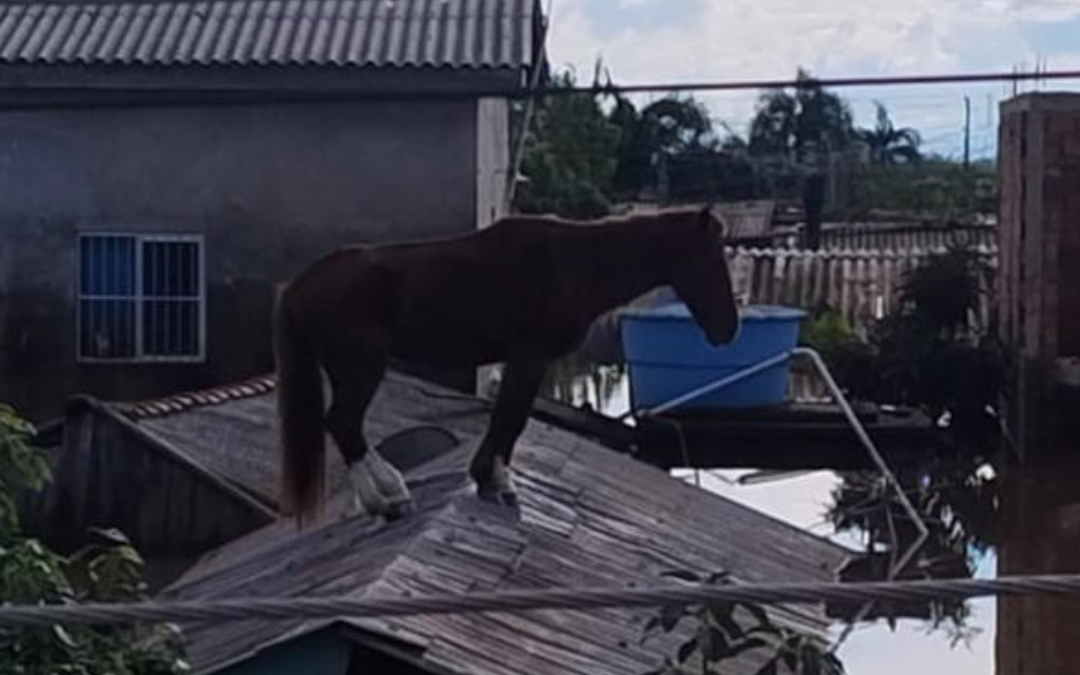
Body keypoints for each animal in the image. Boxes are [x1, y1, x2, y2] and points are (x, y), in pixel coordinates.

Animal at [274, 205, 740, 526]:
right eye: (713, 259)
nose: (728, 330)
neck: (573, 264)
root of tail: (297, 286)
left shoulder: (527, 363)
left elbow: (509, 420)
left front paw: (491, 480)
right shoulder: (529, 358)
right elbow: (510, 419)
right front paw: (495, 482)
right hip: (361, 368)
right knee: (344, 423)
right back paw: (389, 497)